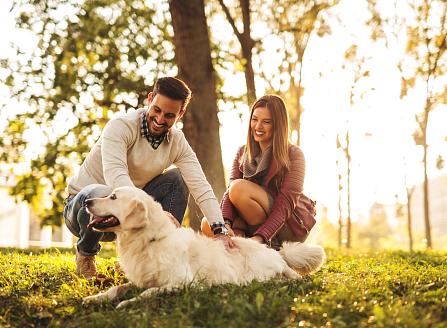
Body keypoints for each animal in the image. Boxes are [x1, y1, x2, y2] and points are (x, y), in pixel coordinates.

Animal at [82, 186, 326, 308]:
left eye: (113, 197)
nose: (86, 202)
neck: (149, 241)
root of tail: (275, 252)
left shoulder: (181, 282)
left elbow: (149, 292)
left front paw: (127, 303)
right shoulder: (140, 278)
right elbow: (116, 288)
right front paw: (95, 298)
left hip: (261, 267)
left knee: (289, 274)